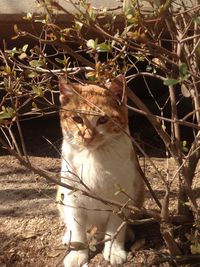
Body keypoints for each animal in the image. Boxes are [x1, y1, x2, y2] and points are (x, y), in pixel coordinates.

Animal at [57, 75, 145, 267]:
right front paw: (78, 253)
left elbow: (115, 230)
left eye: (103, 120)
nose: (87, 136)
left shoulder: (120, 200)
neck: (92, 156)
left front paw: (113, 251)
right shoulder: (73, 196)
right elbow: (77, 228)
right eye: (77, 119)